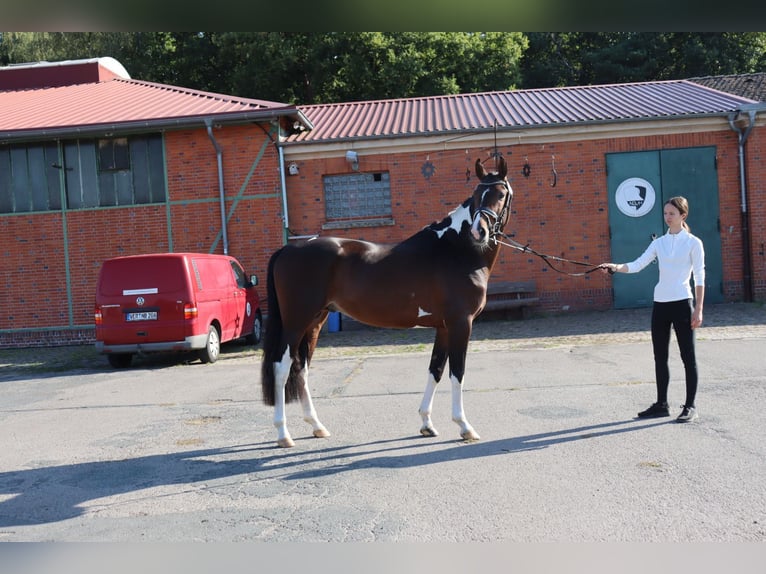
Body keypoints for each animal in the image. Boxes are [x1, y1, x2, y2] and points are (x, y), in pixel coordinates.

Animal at [262, 158, 516, 450]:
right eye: (476, 195)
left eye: (500, 193)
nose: (479, 231)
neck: (456, 251)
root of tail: (288, 249)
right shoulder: (461, 324)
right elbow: (457, 372)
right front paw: (464, 426)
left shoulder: (443, 327)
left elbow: (436, 369)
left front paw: (427, 423)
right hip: (296, 322)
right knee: (281, 367)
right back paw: (283, 434)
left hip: (314, 322)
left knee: (301, 367)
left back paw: (317, 426)